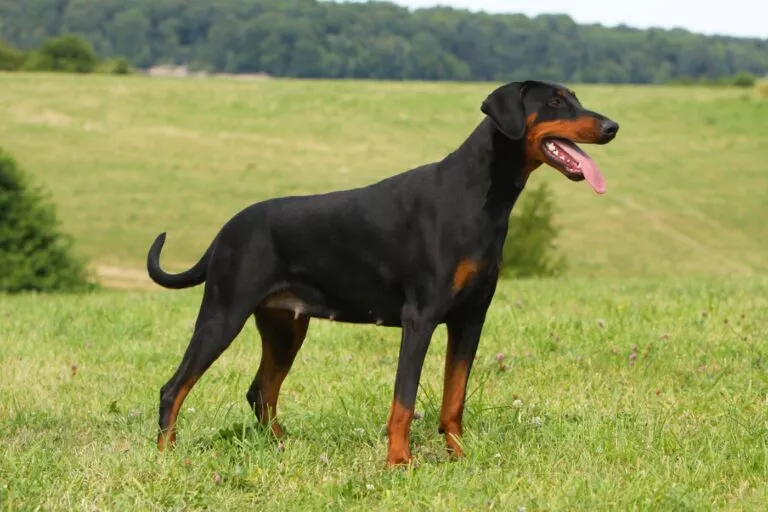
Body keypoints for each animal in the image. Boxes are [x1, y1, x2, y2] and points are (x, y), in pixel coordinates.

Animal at [148, 78, 616, 466]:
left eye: (575, 97)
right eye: (555, 101)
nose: (612, 126)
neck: (479, 195)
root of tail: (224, 233)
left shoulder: (470, 319)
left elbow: (454, 401)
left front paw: (459, 458)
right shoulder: (420, 318)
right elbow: (404, 401)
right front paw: (399, 462)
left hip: (285, 327)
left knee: (261, 392)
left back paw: (283, 446)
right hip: (224, 314)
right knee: (174, 389)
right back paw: (168, 457)